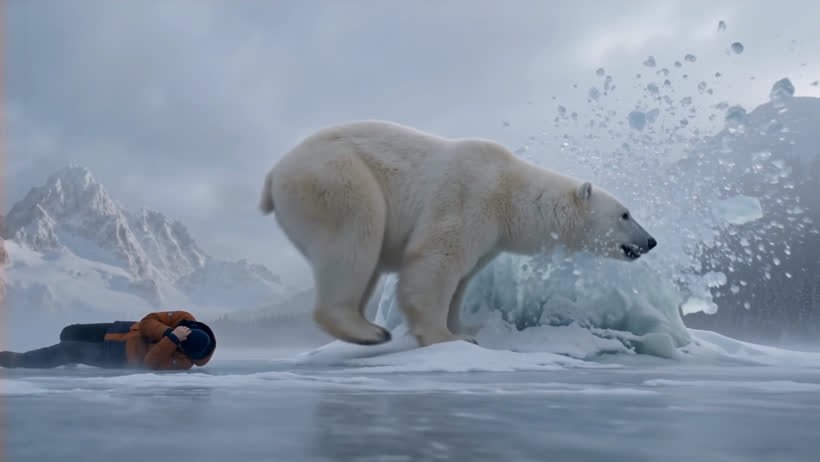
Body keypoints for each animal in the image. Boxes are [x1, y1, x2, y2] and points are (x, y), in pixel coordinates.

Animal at [258, 120, 657, 347]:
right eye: (626, 214)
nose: (651, 241)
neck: (511, 192)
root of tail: (275, 173)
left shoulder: (491, 237)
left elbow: (463, 278)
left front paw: (467, 325)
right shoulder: (471, 195)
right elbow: (435, 262)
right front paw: (446, 336)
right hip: (336, 179)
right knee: (353, 241)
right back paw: (367, 330)